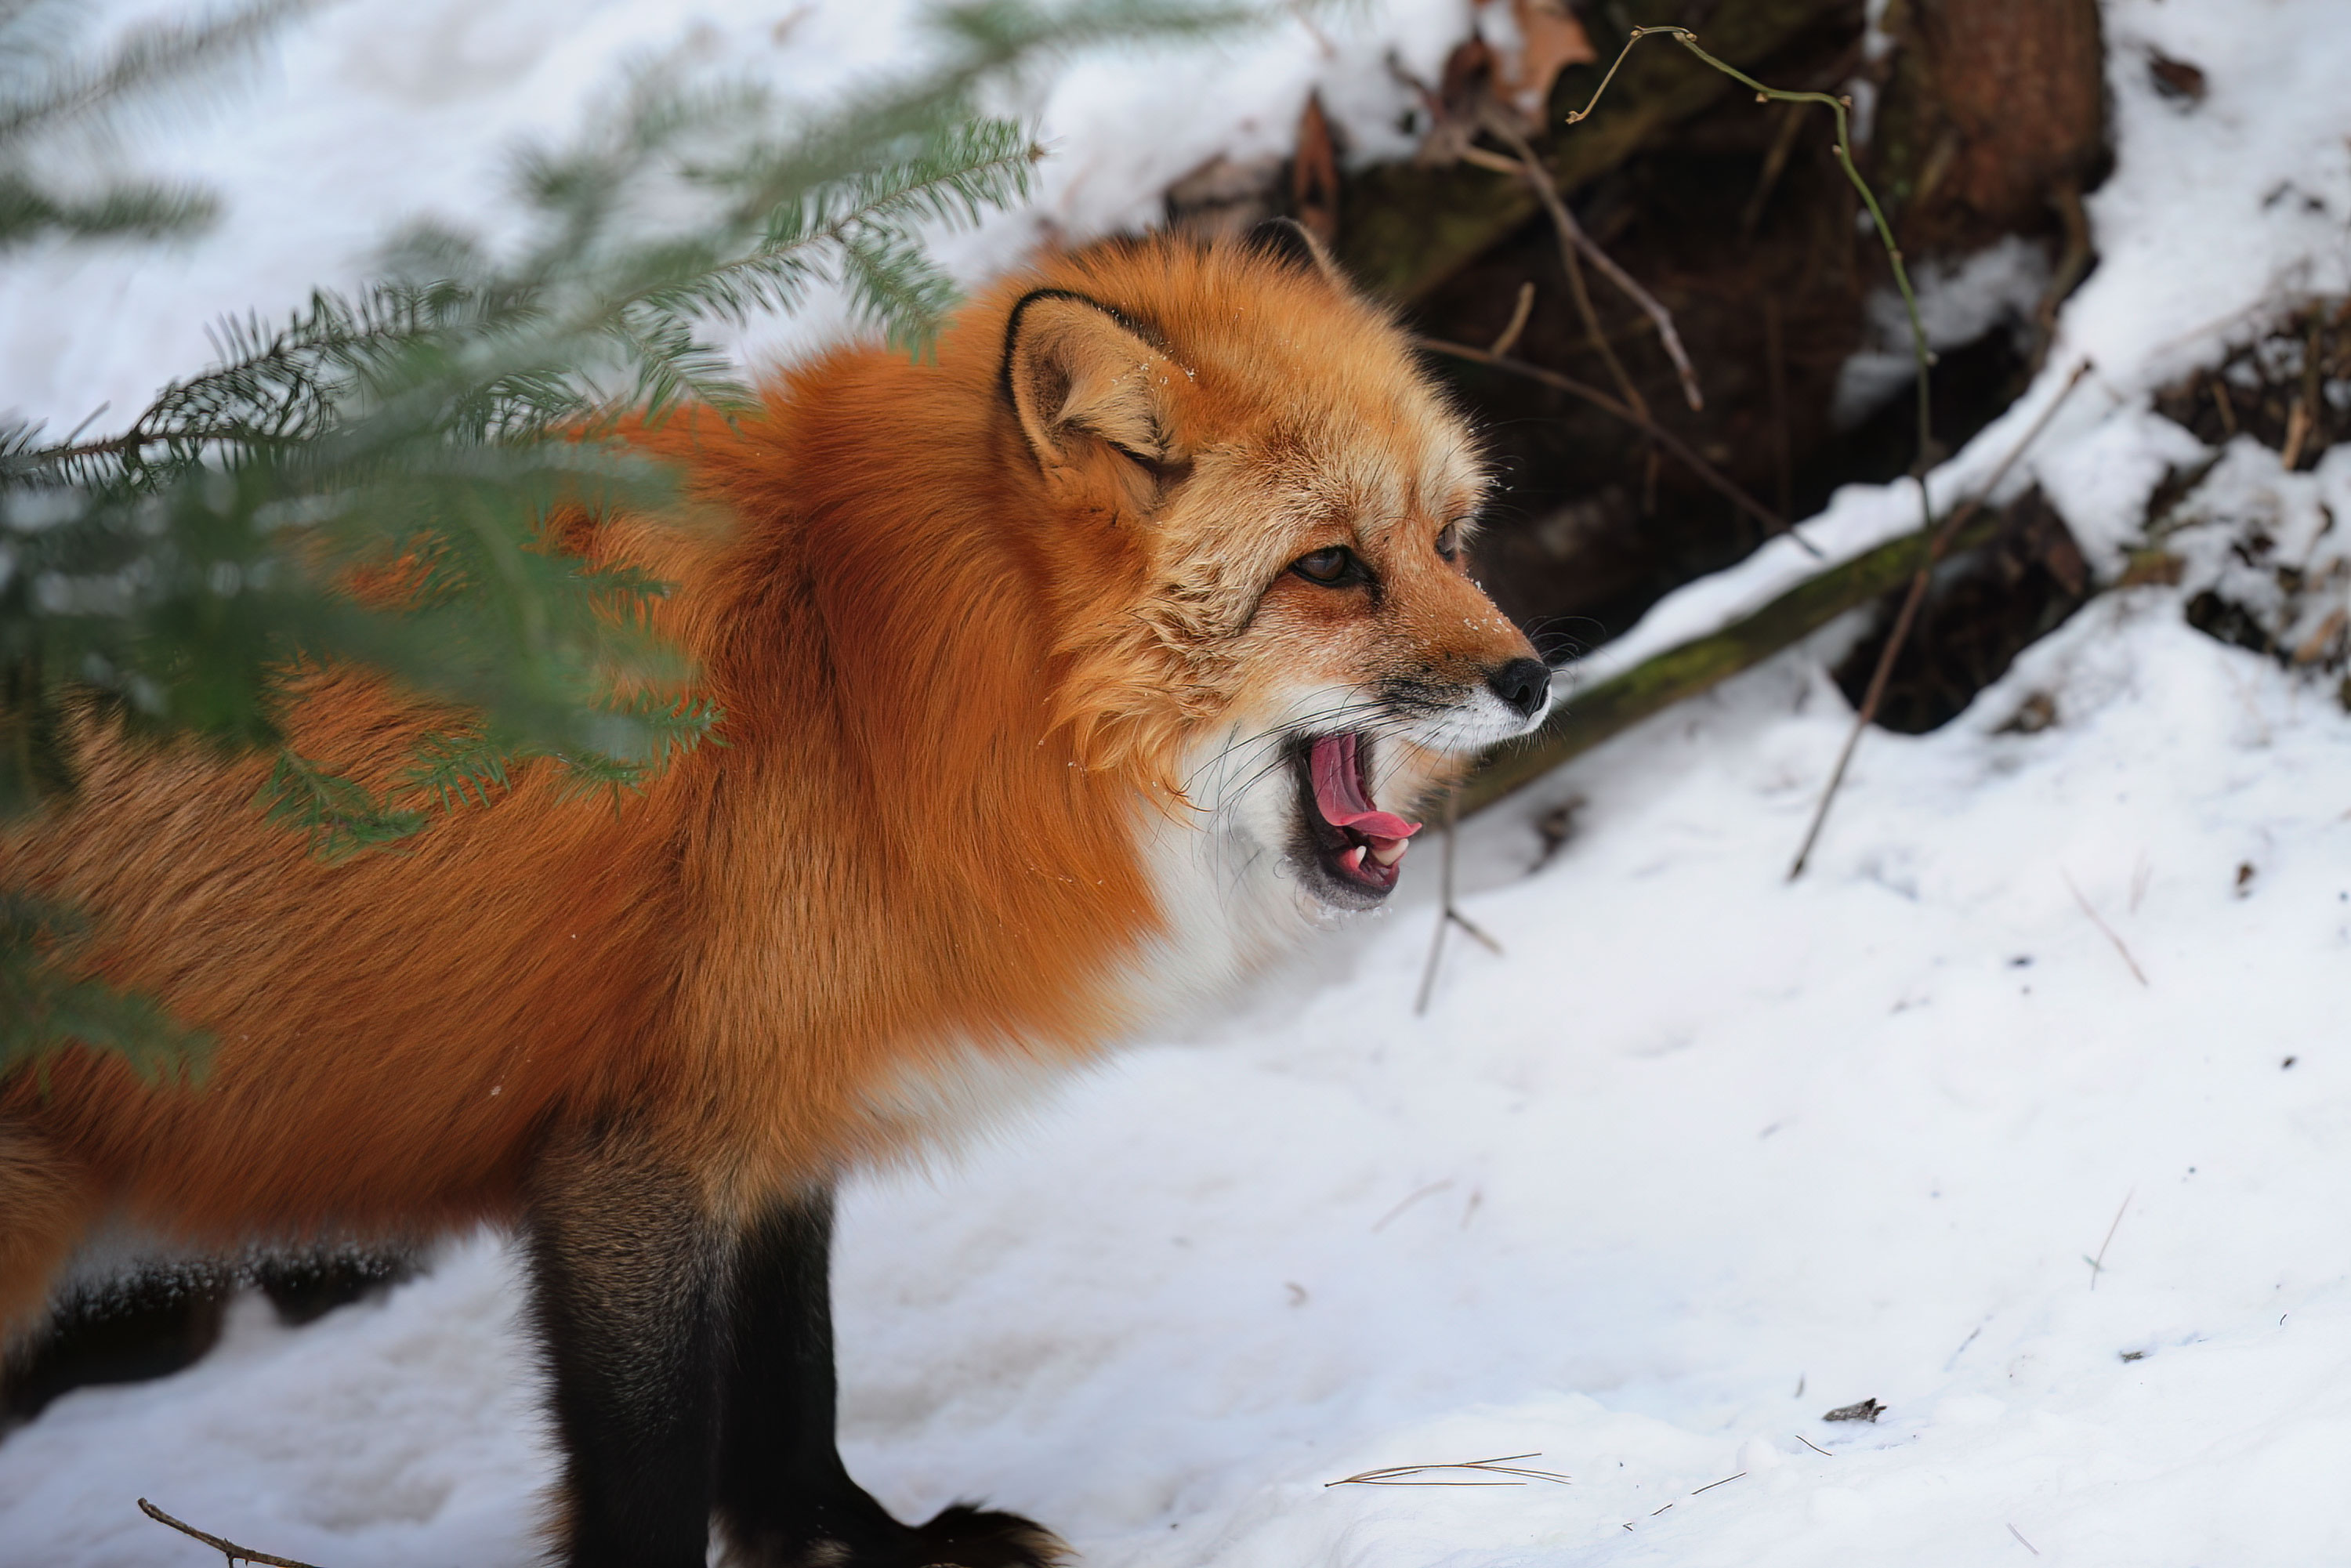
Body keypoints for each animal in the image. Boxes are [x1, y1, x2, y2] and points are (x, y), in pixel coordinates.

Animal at [0, 223, 1551, 1567]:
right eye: (1331, 566)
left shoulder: (774, 1112)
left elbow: (794, 1384)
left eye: (1449, 540)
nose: (1534, 681)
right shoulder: (633, 1156)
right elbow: (653, 1464)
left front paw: (858, 1543)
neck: (870, 687)